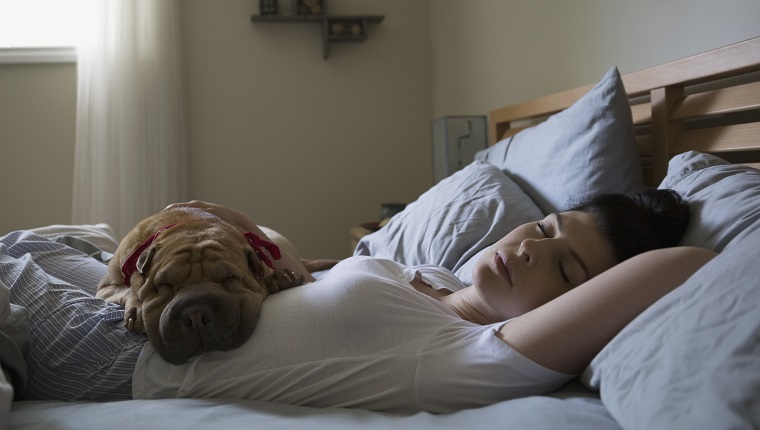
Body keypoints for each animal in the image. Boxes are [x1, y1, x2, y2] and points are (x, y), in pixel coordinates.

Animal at [96, 207, 304, 364]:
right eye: (164, 284)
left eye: (230, 278)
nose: (194, 315)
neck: (191, 223)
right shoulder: (105, 289)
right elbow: (127, 290)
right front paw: (137, 308)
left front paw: (279, 277)